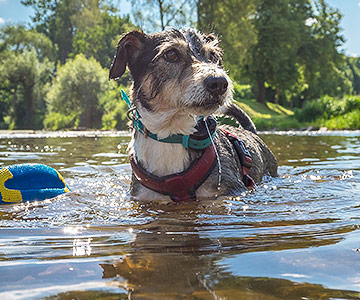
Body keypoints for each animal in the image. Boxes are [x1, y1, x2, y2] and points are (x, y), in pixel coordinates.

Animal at [108, 28, 278, 203]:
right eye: (171, 54)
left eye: (213, 56)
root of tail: (251, 132)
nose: (220, 83)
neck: (172, 132)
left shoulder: (229, 190)